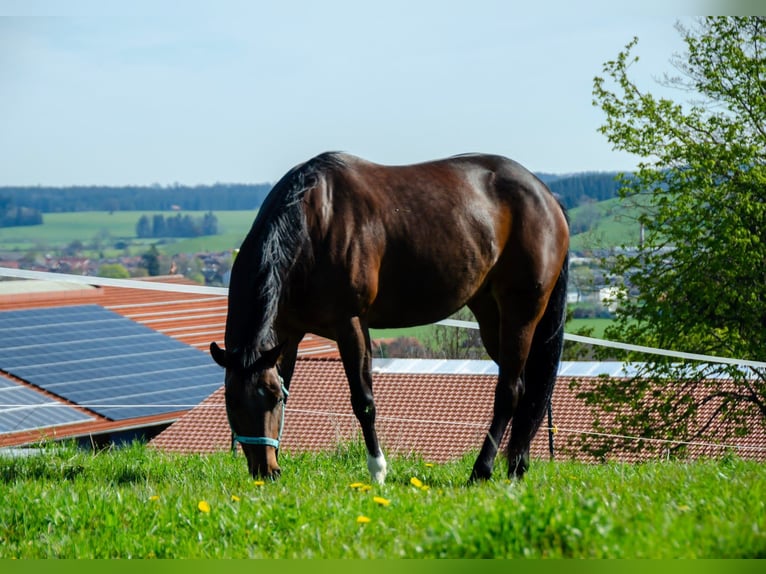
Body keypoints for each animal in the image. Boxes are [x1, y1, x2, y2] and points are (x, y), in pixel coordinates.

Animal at [210, 151, 569, 484]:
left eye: (269, 397)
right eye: (231, 402)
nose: (266, 471)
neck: (313, 223)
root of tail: (547, 195)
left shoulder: (351, 324)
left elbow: (363, 401)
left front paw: (377, 470)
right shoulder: (288, 333)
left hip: (520, 312)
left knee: (508, 392)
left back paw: (482, 471)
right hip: (491, 316)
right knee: (525, 386)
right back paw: (516, 467)